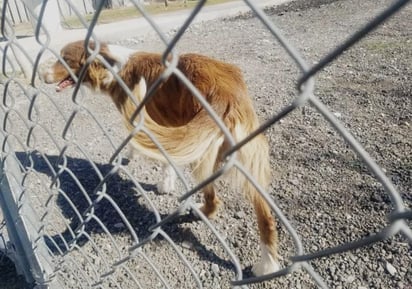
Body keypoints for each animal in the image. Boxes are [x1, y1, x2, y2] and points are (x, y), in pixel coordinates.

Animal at [41, 40, 280, 274]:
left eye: (66, 59)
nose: (42, 75)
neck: (112, 66)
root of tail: (226, 96)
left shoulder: (150, 125)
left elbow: (146, 150)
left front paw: (156, 179)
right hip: (247, 160)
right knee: (264, 215)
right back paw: (267, 264)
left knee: (214, 199)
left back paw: (201, 212)